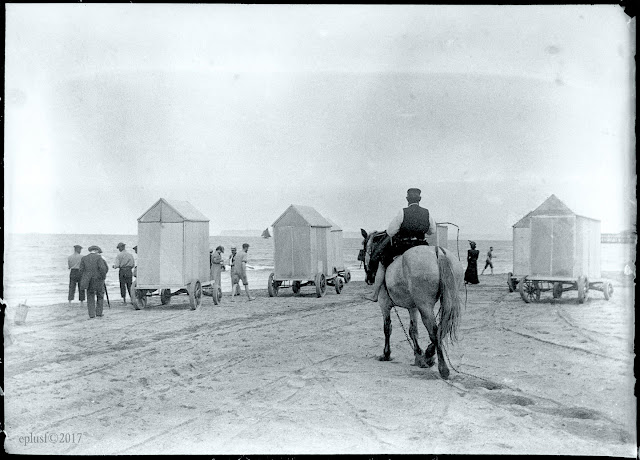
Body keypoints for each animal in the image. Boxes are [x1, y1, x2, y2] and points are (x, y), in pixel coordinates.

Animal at [360, 228, 464, 380]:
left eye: (363, 248)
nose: (368, 278)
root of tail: (437, 252)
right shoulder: (413, 307)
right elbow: (412, 330)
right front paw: (418, 355)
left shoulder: (384, 304)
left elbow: (387, 328)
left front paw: (386, 354)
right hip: (445, 301)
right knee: (442, 328)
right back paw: (429, 355)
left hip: (425, 306)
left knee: (434, 332)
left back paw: (442, 367)